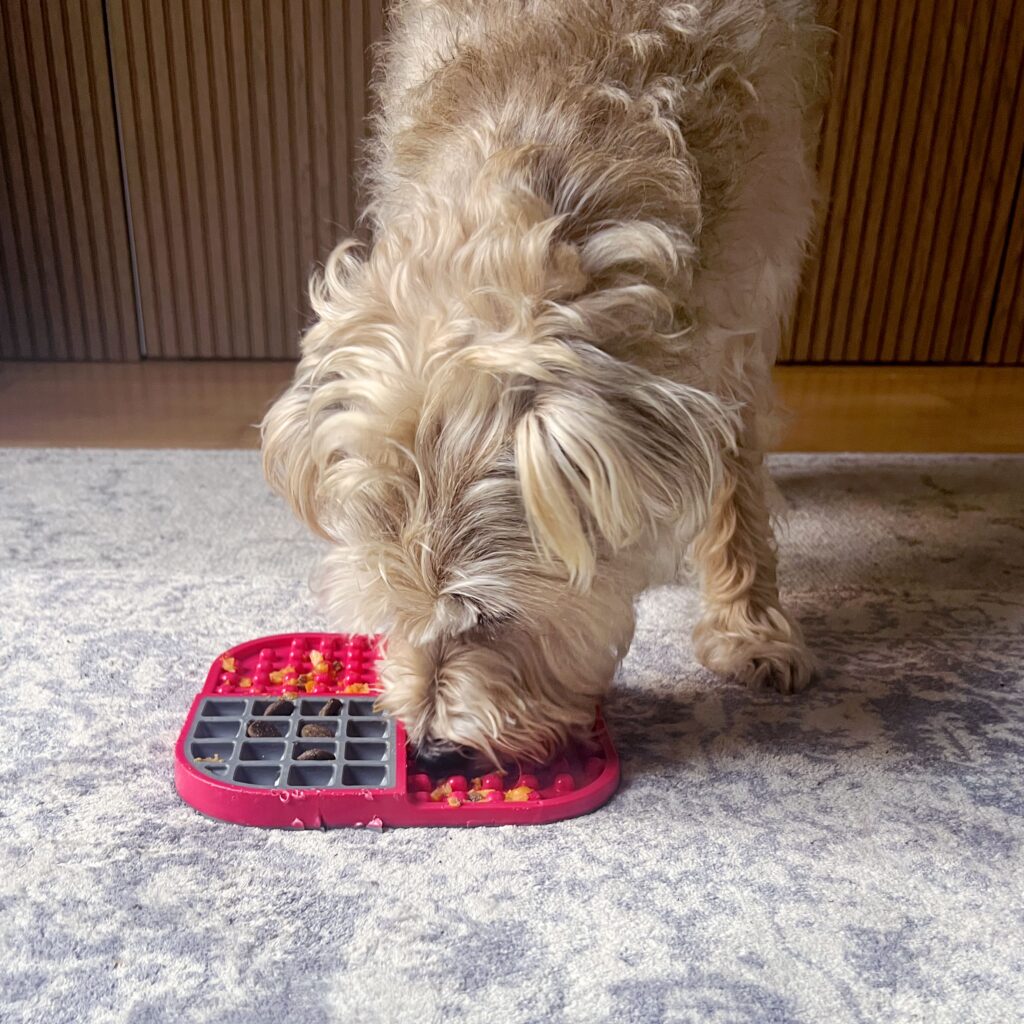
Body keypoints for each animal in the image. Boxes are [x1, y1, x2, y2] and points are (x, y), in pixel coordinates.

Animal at [260, 0, 827, 765]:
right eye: (388, 610)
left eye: (490, 616)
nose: (431, 749)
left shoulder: (741, 309)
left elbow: (736, 482)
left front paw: (752, 628)